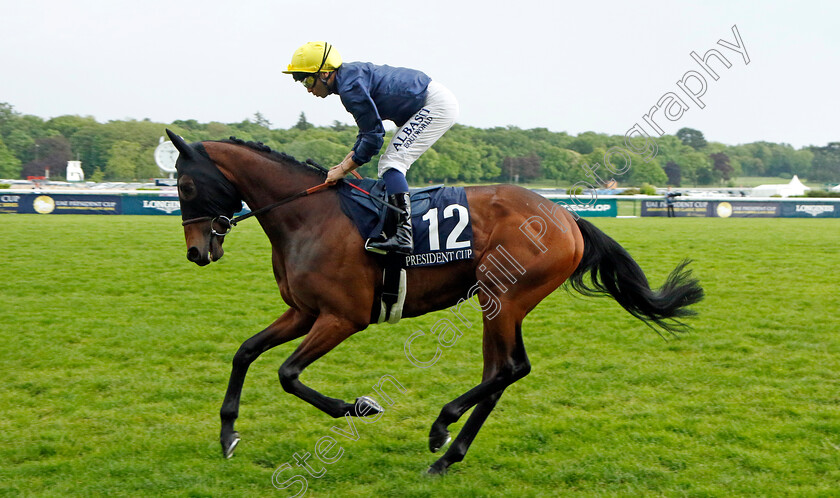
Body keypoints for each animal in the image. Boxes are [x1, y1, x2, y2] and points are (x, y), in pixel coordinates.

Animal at [166, 128, 704, 474]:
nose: (196, 251)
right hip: (496, 302)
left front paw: (360, 406)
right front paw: (228, 434)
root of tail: (567, 217)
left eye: (185, 184)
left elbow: (287, 374)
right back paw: (449, 455)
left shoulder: (342, 318)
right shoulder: (304, 312)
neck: (308, 215)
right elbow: (246, 352)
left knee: (512, 368)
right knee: (499, 373)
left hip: (504, 296)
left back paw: (441, 428)